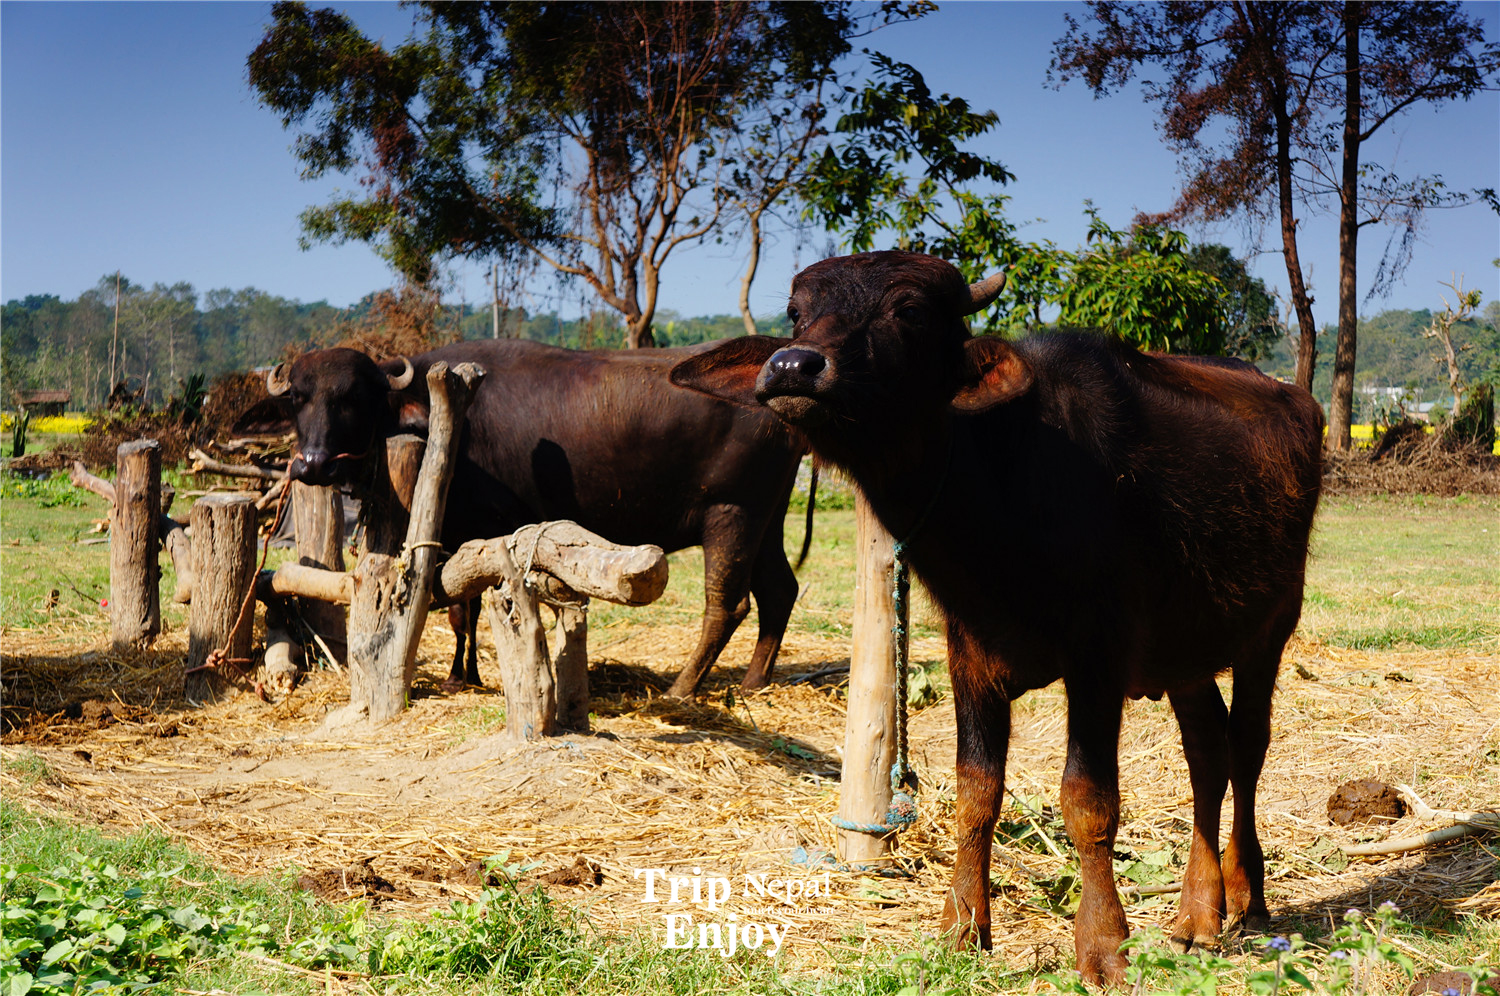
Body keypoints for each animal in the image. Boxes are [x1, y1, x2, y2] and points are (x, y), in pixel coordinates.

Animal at [240, 339, 816, 696]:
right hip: (767, 519)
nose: (312, 464)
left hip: (732, 514)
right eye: (296, 398)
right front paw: (465, 673)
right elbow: (463, 610)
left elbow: (463, 608)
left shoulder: (483, 530)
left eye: (354, 397)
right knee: (779, 591)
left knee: (728, 605)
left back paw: (681, 689)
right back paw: (755, 682)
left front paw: (460, 675)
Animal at [672, 253, 1326, 984]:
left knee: (1247, 746)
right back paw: (1196, 914)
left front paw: (1103, 943)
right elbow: (976, 792)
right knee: (1207, 753)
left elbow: (1088, 800)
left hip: (1270, 628)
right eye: (796, 312)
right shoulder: (972, 658)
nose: (792, 367)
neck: (998, 488)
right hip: (1183, 653)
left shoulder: (1098, 658)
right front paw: (962, 925)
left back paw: (1248, 896)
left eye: (909, 310)